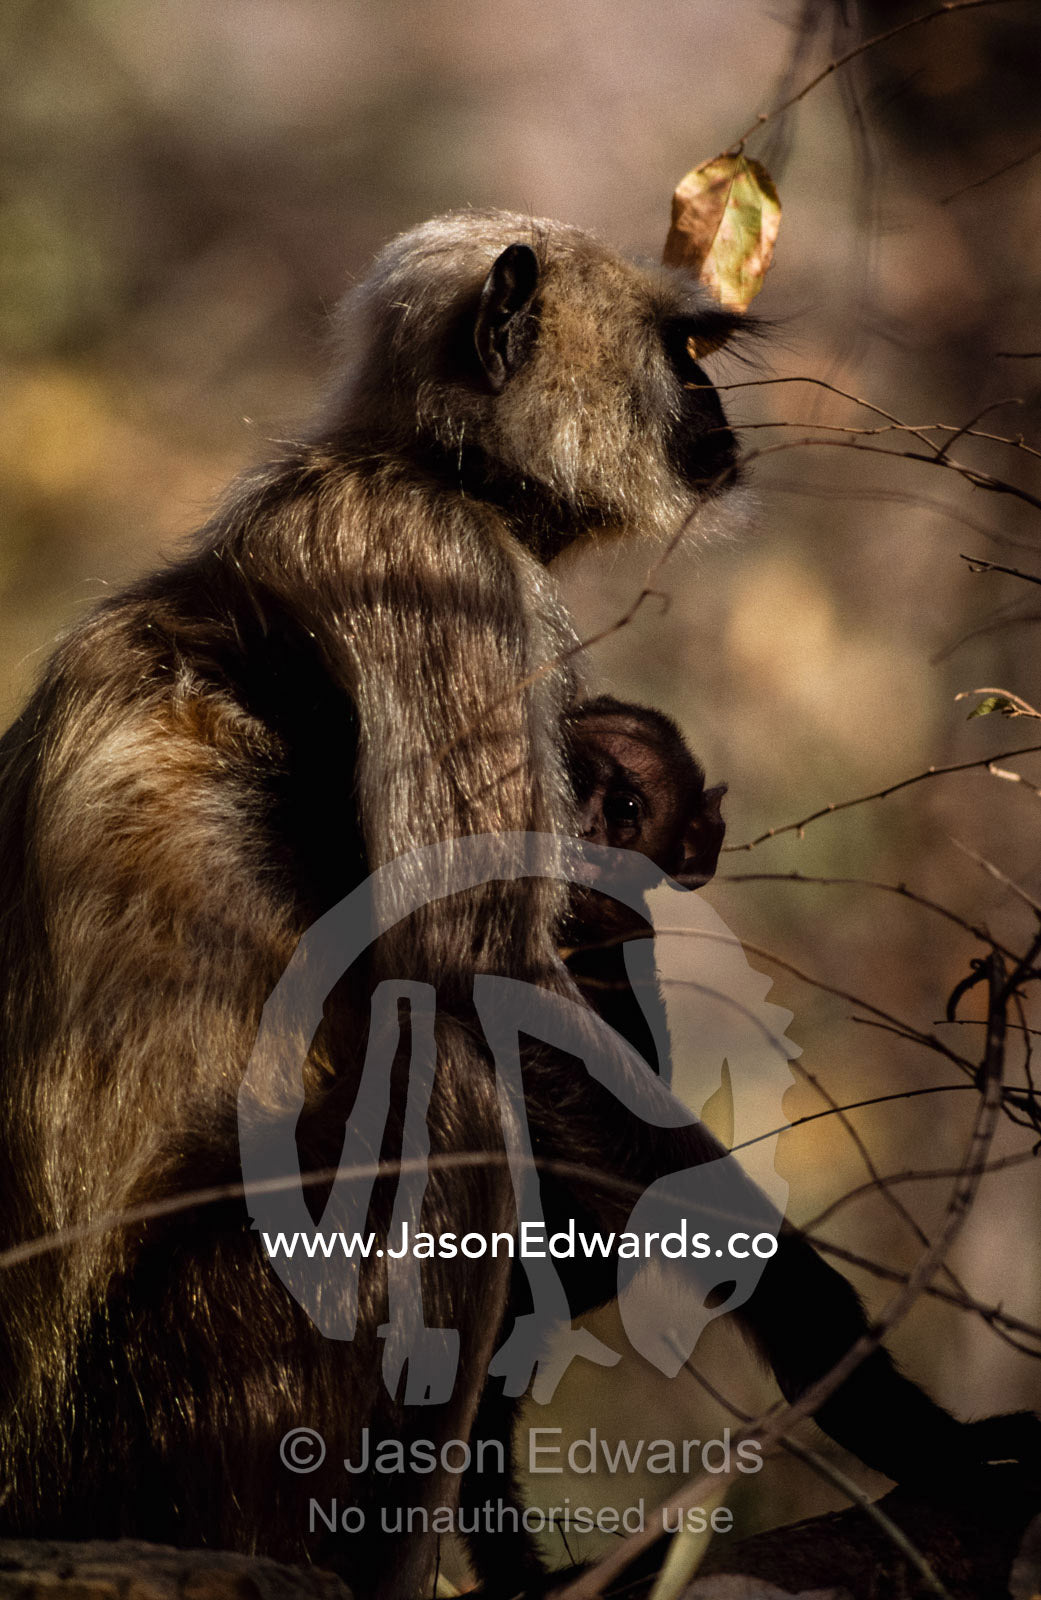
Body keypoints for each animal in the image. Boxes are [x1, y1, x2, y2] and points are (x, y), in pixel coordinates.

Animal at [0, 209, 1036, 1600]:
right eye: (682, 352)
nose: (712, 406)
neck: (408, 464)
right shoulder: (436, 562)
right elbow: (473, 975)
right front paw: (888, 1406)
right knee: (442, 1078)